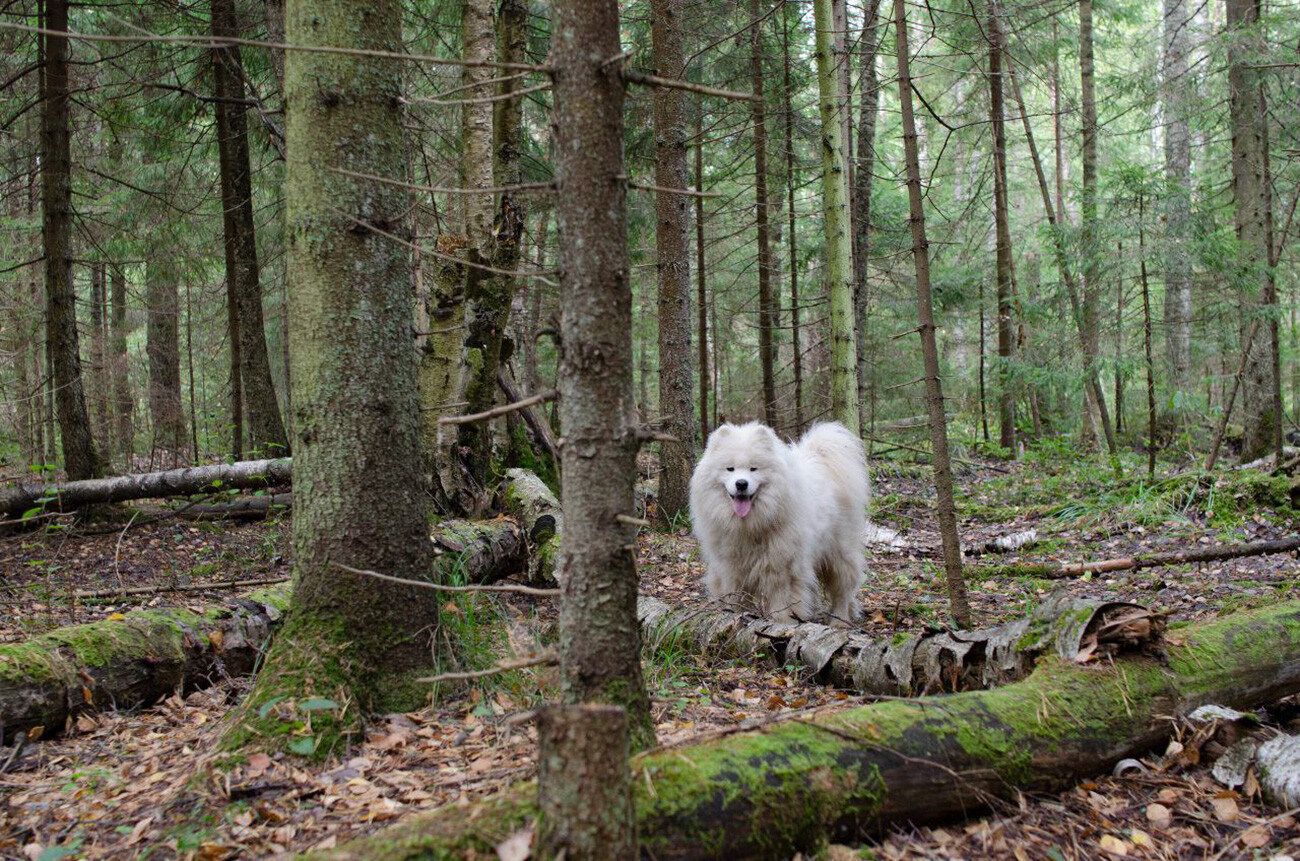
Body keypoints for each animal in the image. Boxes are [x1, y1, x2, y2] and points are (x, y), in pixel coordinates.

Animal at [686, 421, 868, 624]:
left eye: (753, 468)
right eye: (730, 468)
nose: (741, 484)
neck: (749, 526)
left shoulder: (781, 567)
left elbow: (782, 603)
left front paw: (783, 624)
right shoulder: (731, 568)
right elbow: (734, 597)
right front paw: (734, 618)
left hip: (839, 553)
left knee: (843, 590)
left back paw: (840, 621)